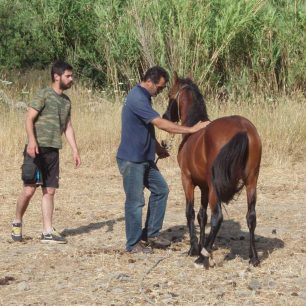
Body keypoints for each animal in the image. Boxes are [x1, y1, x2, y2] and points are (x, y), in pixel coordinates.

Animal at [164, 73, 262, 266]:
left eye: (171, 95)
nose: (166, 116)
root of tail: (243, 129)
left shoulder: (187, 180)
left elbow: (190, 212)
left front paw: (194, 248)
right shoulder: (204, 186)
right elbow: (202, 215)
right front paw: (200, 244)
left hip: (215, 186)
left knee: (218, 216)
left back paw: (203, 255)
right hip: (251, 181)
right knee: (251, 216)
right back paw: (253, 256)